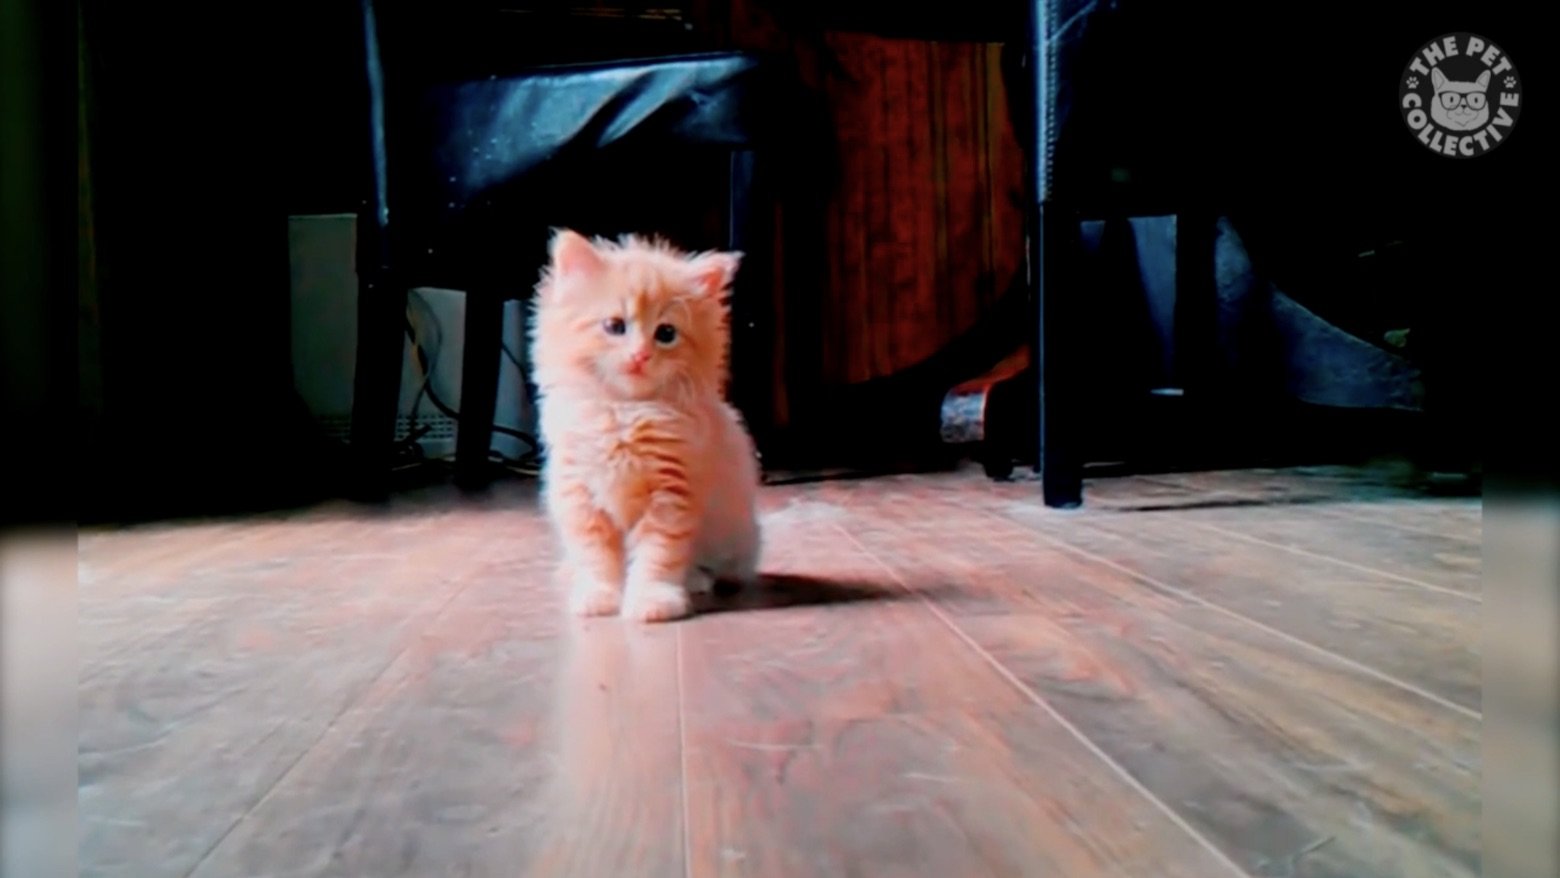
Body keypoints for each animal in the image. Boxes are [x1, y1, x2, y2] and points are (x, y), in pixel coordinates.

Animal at [528, 229, 763, 623]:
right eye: (614, 327)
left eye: (666, 333)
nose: (640, 356)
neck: (624, 413)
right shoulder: (579, 493)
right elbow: (596, 556)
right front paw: (598, 595)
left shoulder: (673, 493)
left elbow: (659, 555)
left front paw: (653, 601)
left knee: (722, 570)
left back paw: (696, 580)